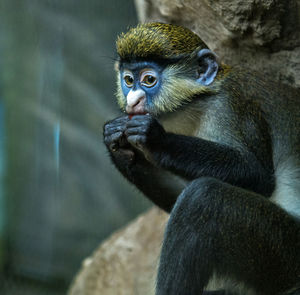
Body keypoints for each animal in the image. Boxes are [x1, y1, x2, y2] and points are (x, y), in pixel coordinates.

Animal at [103, 23, 300, 295]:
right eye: (128, 80)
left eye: (149, 80)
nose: (133, 101)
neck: (199, 102)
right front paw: (117, 144)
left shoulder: (232, 107)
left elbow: (258, 175)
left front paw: (154, 139)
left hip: (285, 256)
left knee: (203, 197)